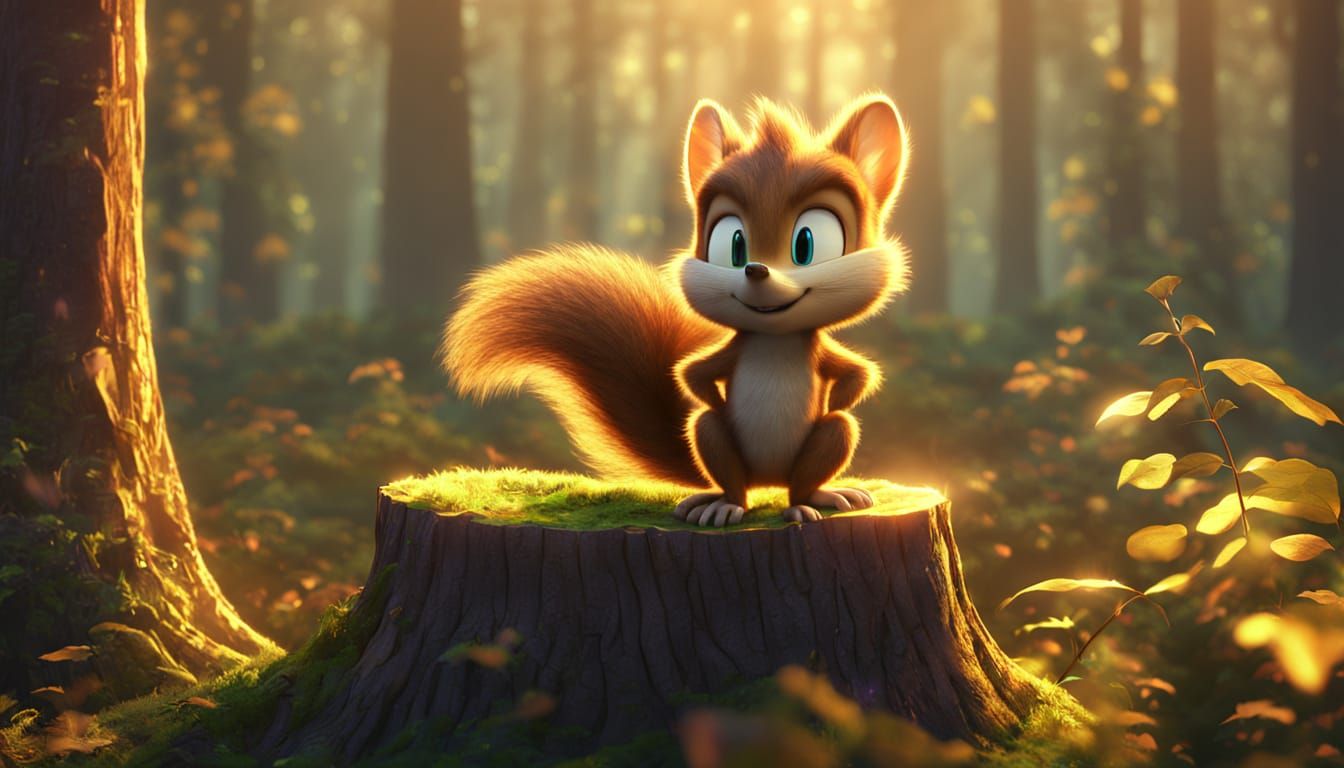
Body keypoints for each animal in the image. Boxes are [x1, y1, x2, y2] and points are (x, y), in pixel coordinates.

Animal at [443, 94, 910, 527]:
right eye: (733, 245)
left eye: (807, 243)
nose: (756, 270)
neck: (774, 340)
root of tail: (767, 483)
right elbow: (693, 376)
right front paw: (718, 399)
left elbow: (857, 374)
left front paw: (838, 396)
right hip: (714, 441)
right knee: (716, 441)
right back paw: (722, 505)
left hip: (828, 441)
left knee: (826, 444)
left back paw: (814, 499)